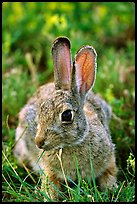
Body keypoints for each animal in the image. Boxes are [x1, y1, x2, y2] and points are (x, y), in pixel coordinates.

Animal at [13, 35, 117, 200]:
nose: (39, 142)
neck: (73, 144)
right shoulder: (49, 171)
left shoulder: (109, 160)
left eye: (67, 115)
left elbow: (109, 174)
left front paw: (111, 190)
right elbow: (50, 185)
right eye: (41, 110)